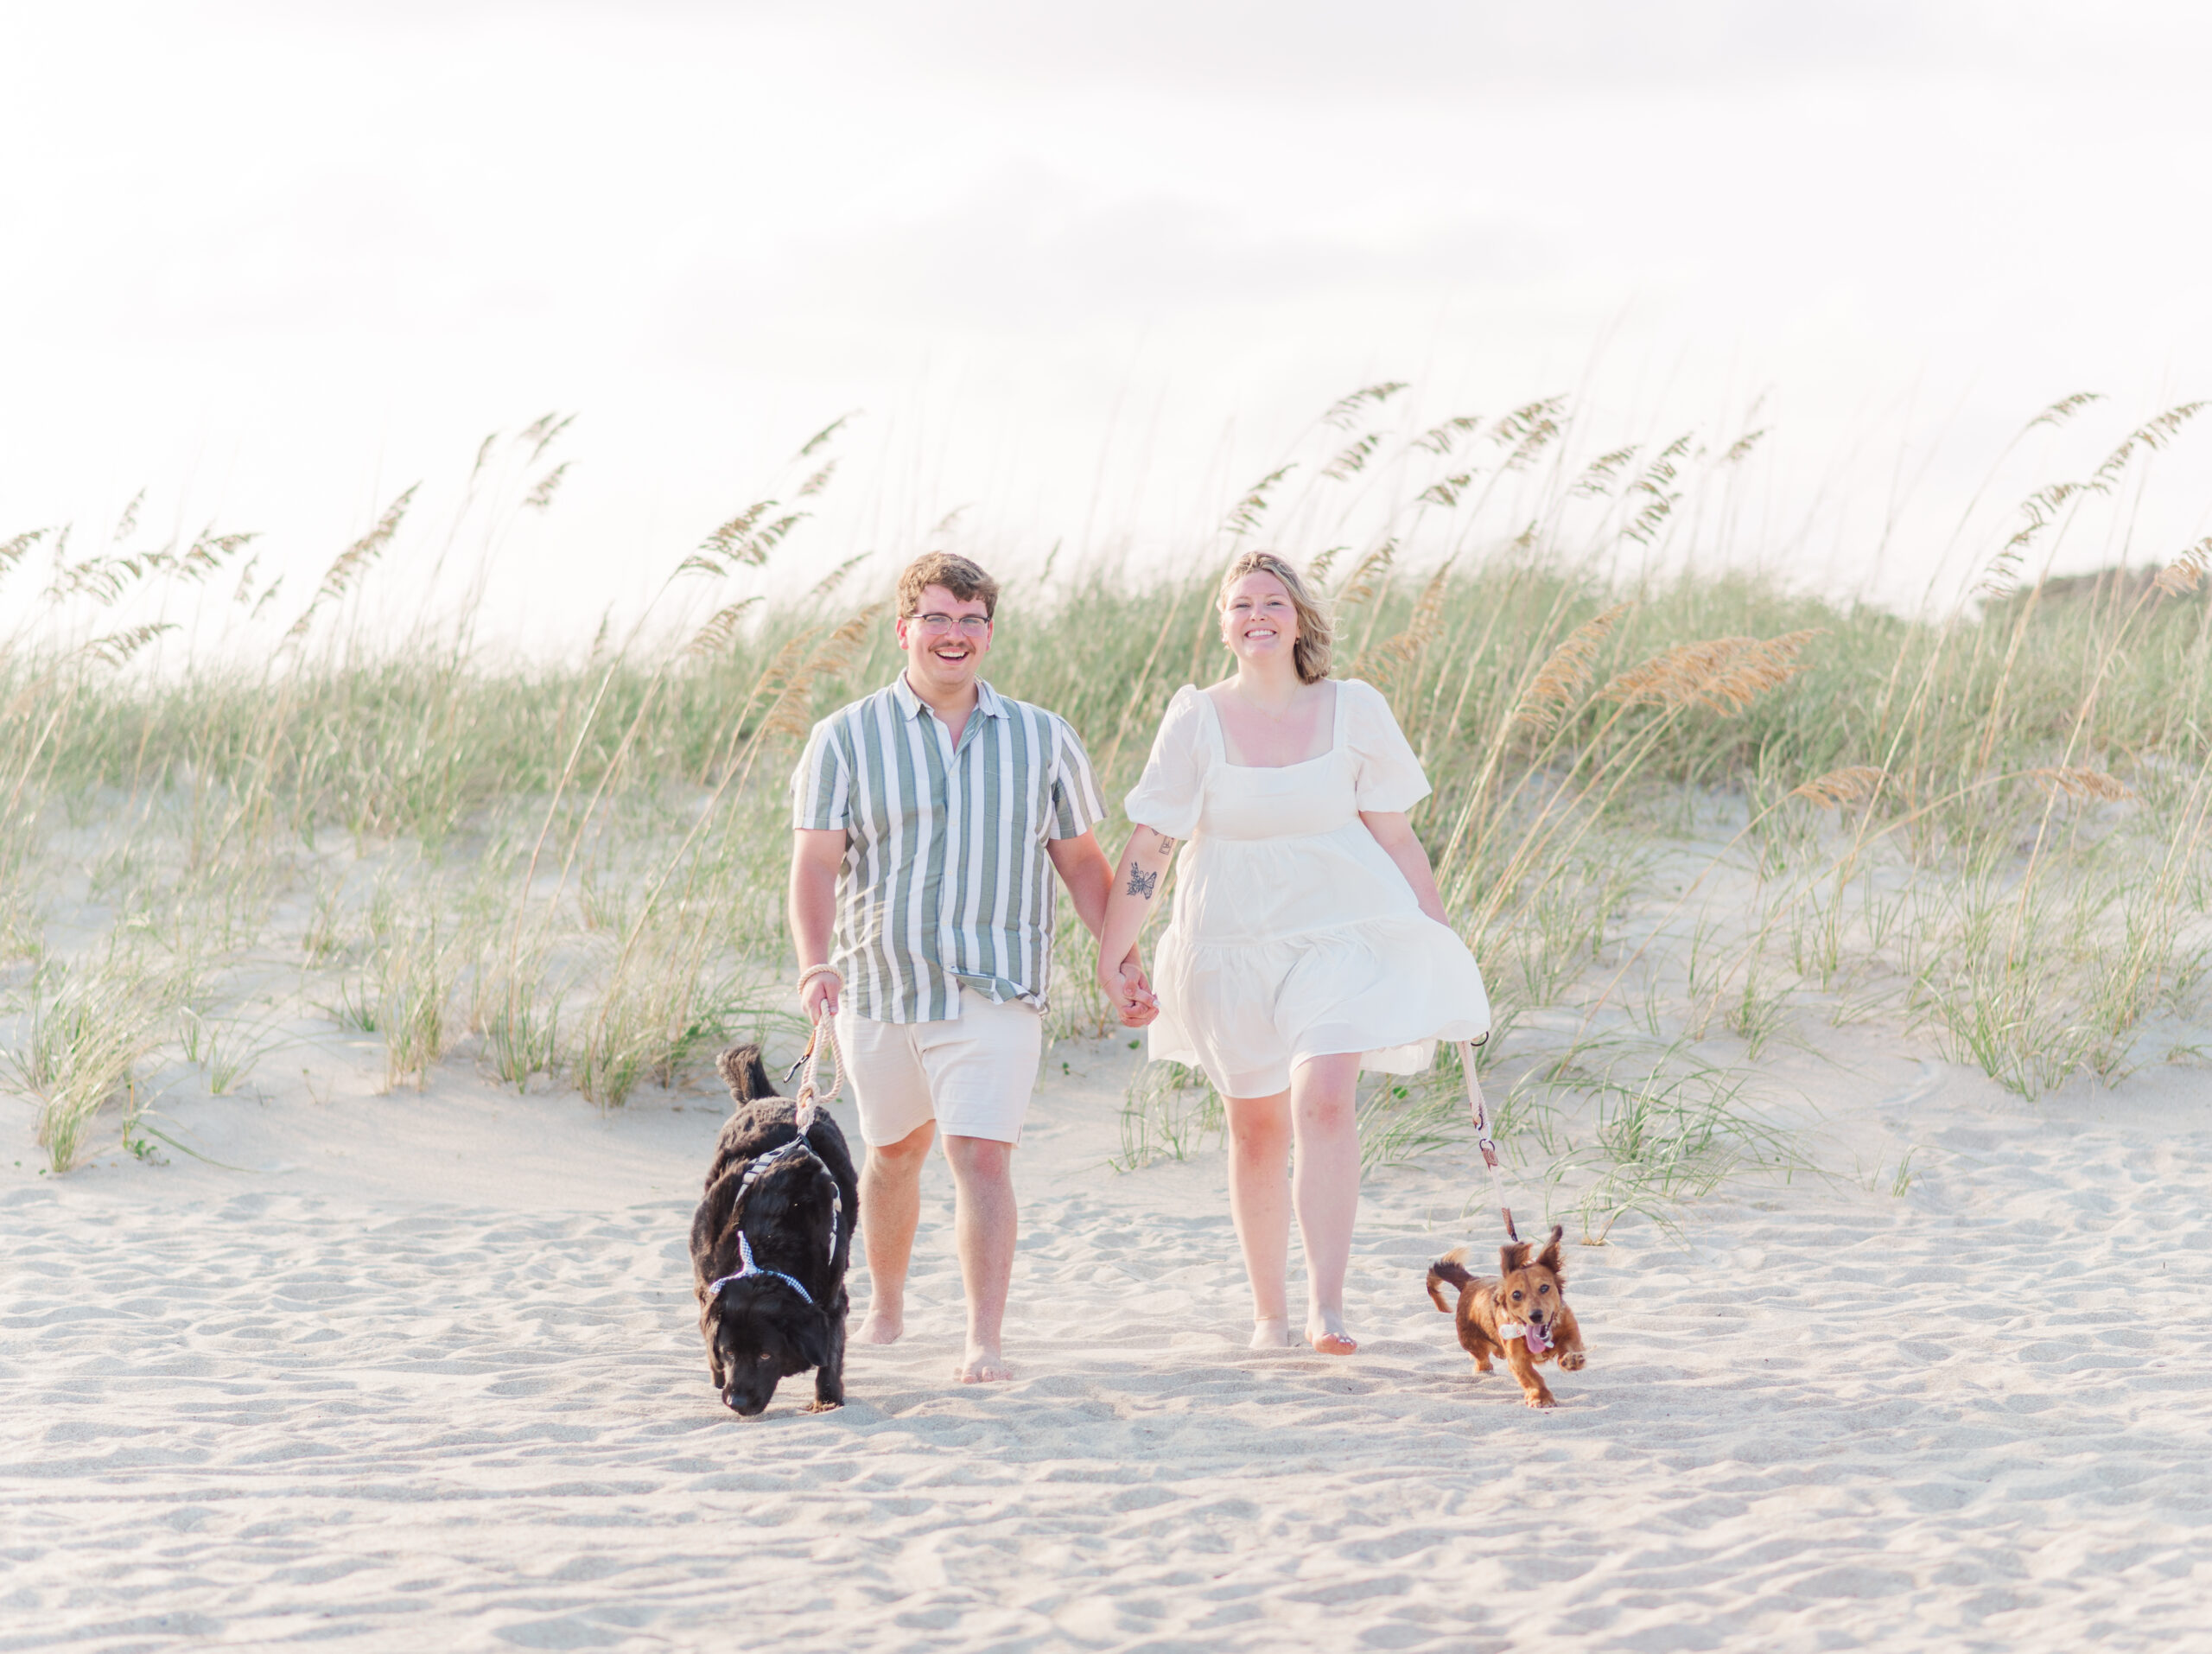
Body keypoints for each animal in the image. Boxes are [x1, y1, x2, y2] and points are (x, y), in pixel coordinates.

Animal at [690, 1047, 854, 1406]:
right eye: (729, 1352)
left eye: (766, 1355)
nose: (736, 1403)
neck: (765, 1244)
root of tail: (767, 1097)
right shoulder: (706, 1283)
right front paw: (718, 1375)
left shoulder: (831, 1300)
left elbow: (831, 1353)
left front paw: (828, 1400)